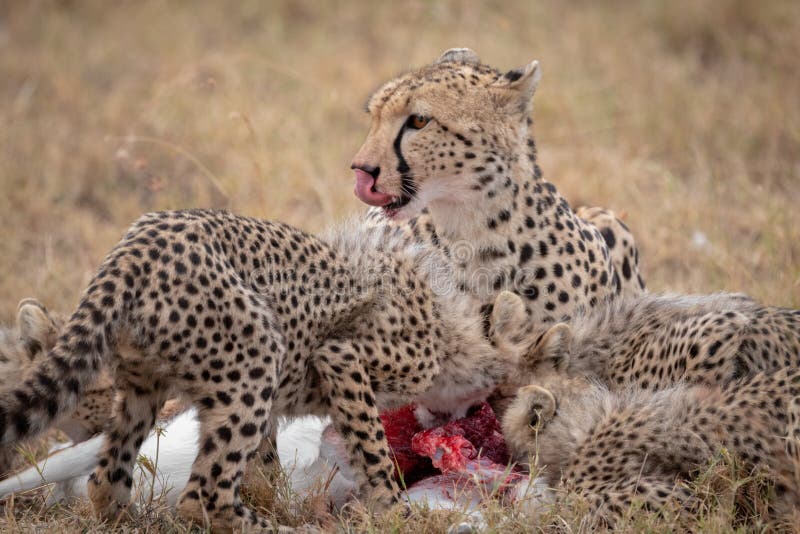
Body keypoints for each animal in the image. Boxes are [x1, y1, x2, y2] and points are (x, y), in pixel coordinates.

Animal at [0, 209, 524, 532]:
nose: (467, 422)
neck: (453, 323)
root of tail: (139, 241)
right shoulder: (341, 357)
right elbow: (373, 450)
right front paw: (396, 514)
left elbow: (265, 470)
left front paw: (281, 498)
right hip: (255, 358)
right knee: (202, 496)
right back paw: (275, 529)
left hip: (143, 389)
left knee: (106, 481)